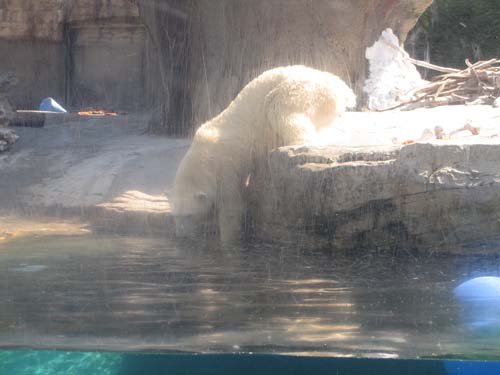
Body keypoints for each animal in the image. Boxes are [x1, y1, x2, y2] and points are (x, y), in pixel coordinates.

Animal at [172, 66, 356, 244]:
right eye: (176, 216)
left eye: (188, 215)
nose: (180, 235)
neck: (204, 154)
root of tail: (341, 86)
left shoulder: (226, 168)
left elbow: (232, 207)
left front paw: (227, 242)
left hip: (308, 90)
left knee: (277, 106)